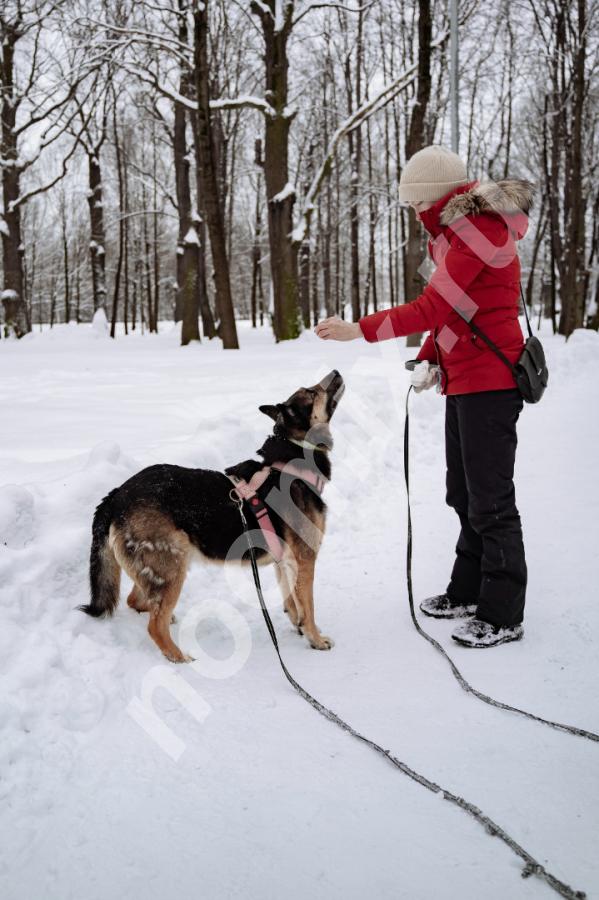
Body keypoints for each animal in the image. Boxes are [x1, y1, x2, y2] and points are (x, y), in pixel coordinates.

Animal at [77, 370, 344, 660]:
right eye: (312, 392)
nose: (336, 372)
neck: (291, 460)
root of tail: (116, 496)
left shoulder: (284, 561)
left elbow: (292, 602)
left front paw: (299, 626)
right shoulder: (305, 559)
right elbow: (308, 606)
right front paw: (315, 638)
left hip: (156, 567)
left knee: (136, 600)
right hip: (172, 567)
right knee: (154, 625)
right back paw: (179, 658)